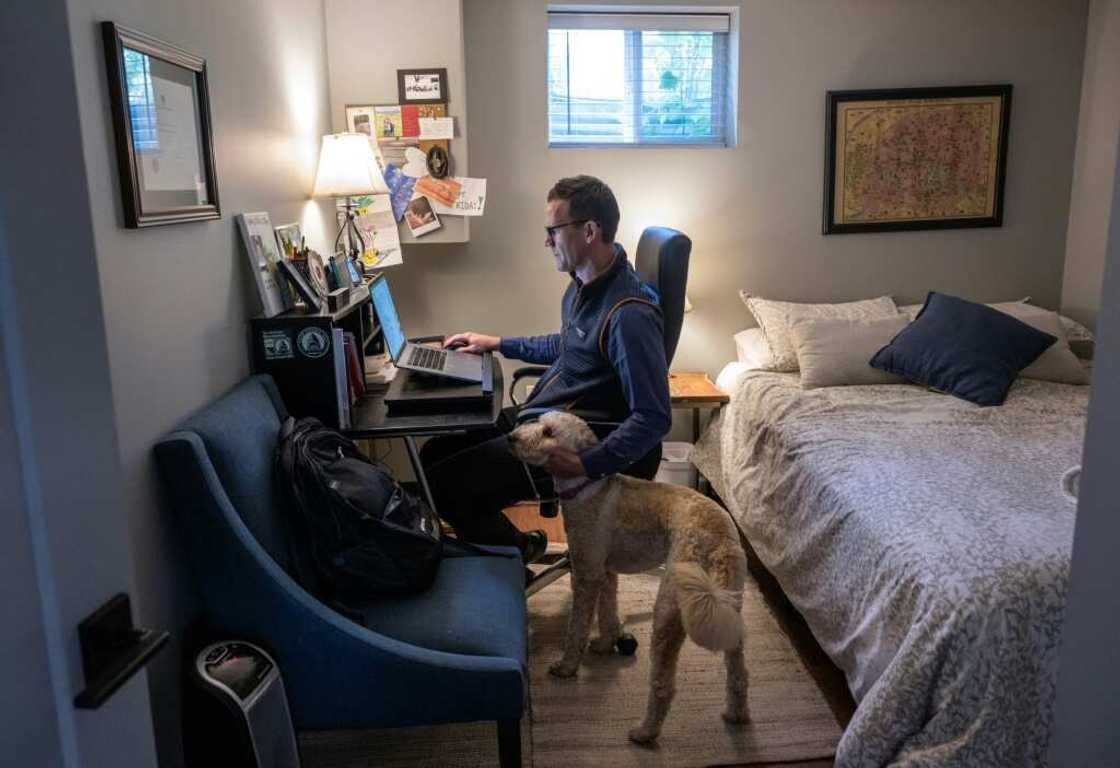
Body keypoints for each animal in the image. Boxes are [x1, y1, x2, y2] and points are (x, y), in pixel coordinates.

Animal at [510, 414, 752, 747]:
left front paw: (567, 667)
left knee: (663, 685)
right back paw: (736, 714)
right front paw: (605, 644)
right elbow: (608, 613)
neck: (588, 487)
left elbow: (577, 628)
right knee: (738, 672)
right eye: (538, 421)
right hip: (730, 608)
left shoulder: (585, 574)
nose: (510, 438)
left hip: (668, 610)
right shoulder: (605, 573)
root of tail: (717, 537)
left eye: (548, 432)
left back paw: (645, 732)